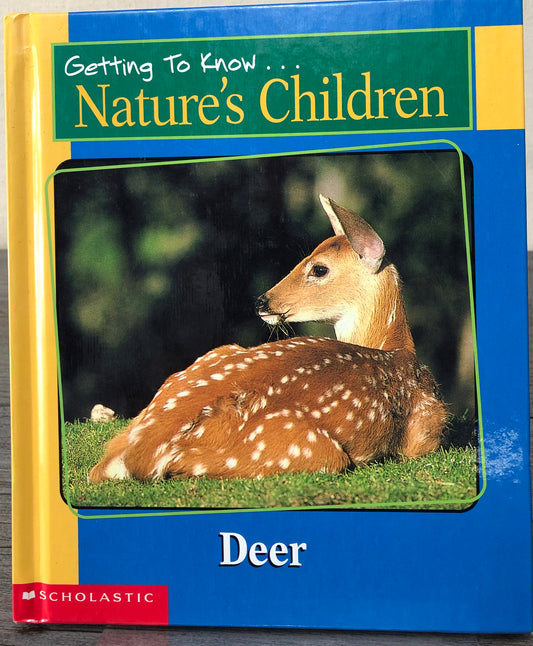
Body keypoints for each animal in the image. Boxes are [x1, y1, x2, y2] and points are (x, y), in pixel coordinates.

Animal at [89, 195, 447, 483]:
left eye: (319, 268)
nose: (262, 302)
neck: (394, 347)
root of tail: (137, 452)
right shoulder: (427, 425)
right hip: (307, 450)